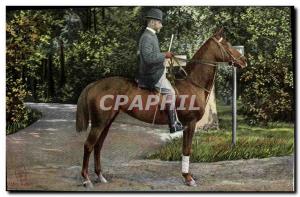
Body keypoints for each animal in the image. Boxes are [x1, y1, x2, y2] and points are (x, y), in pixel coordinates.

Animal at [75, 27, 246, 188]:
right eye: (226, 44)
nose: (244, 60)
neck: (192, 83)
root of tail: (94, 84)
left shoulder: (187, 125)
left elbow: (185, 149)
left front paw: (187, 176)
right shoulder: (190, 124)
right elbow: (187, 149)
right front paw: (188, 178)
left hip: (107, 121)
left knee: (98, 145)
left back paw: (100, 176)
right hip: (99, 123)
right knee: (88, 145)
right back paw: (86, 179)